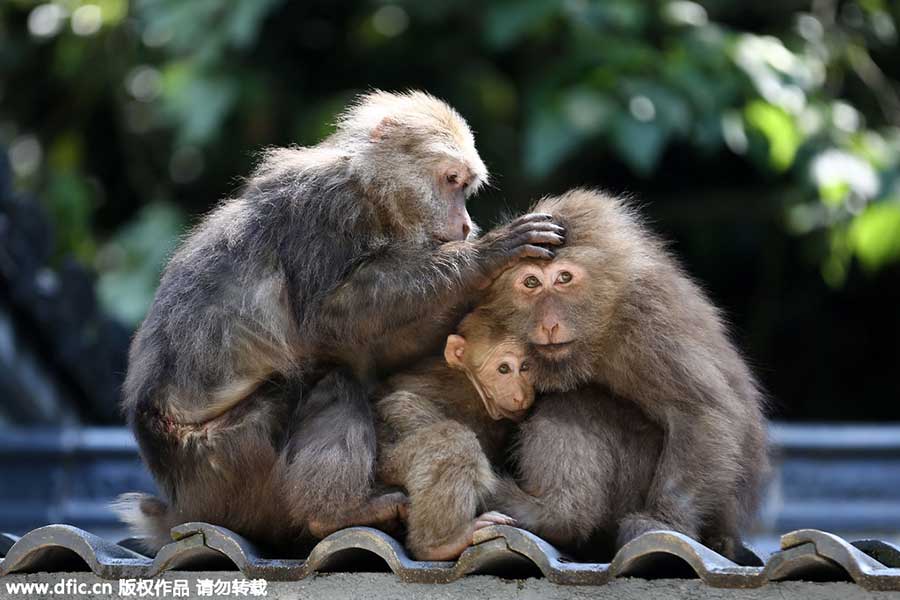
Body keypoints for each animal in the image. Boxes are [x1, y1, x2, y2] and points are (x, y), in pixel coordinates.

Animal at [375, 309, 534, 560]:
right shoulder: (458, 389)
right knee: (453, 440)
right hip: (387, 467)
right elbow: (398, 403)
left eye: (526, 366)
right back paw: (438, 545)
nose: (521, 395)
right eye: (504, 369)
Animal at [479, 189, 768, 563]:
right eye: (530, 282)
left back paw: (552, 514)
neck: (599, 329)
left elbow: (700, 412)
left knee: (573, 402)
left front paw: (663, 522)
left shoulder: (647, 321)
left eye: (564, 278)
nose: (549, 324)